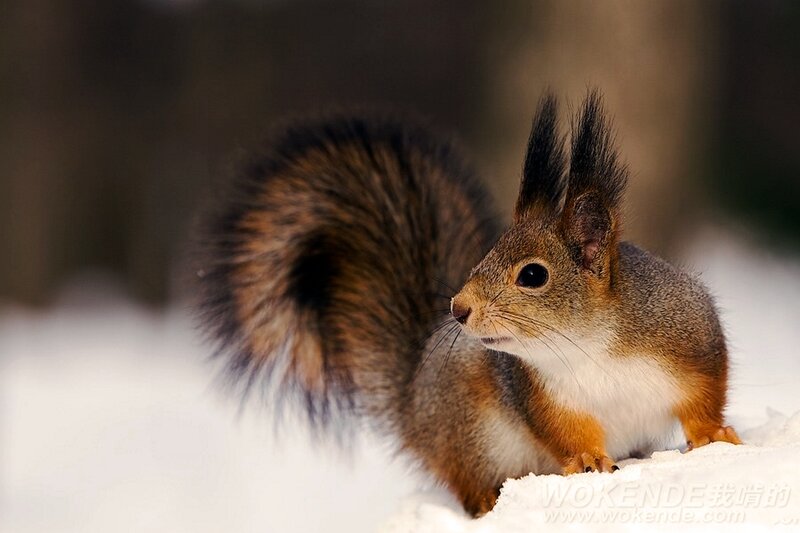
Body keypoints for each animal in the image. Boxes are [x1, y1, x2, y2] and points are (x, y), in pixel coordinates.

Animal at [196, 91, 741, 517]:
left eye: (533, 275)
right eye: (485, 255)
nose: (458, 308)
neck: (593, 342)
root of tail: (413, 404)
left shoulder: (692, 342)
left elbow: (705, 397)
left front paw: (715, 436)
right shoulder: (541, 396)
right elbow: (566, 434)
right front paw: (587, 461)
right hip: (470, 435)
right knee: (469, 482)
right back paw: (485, 502)